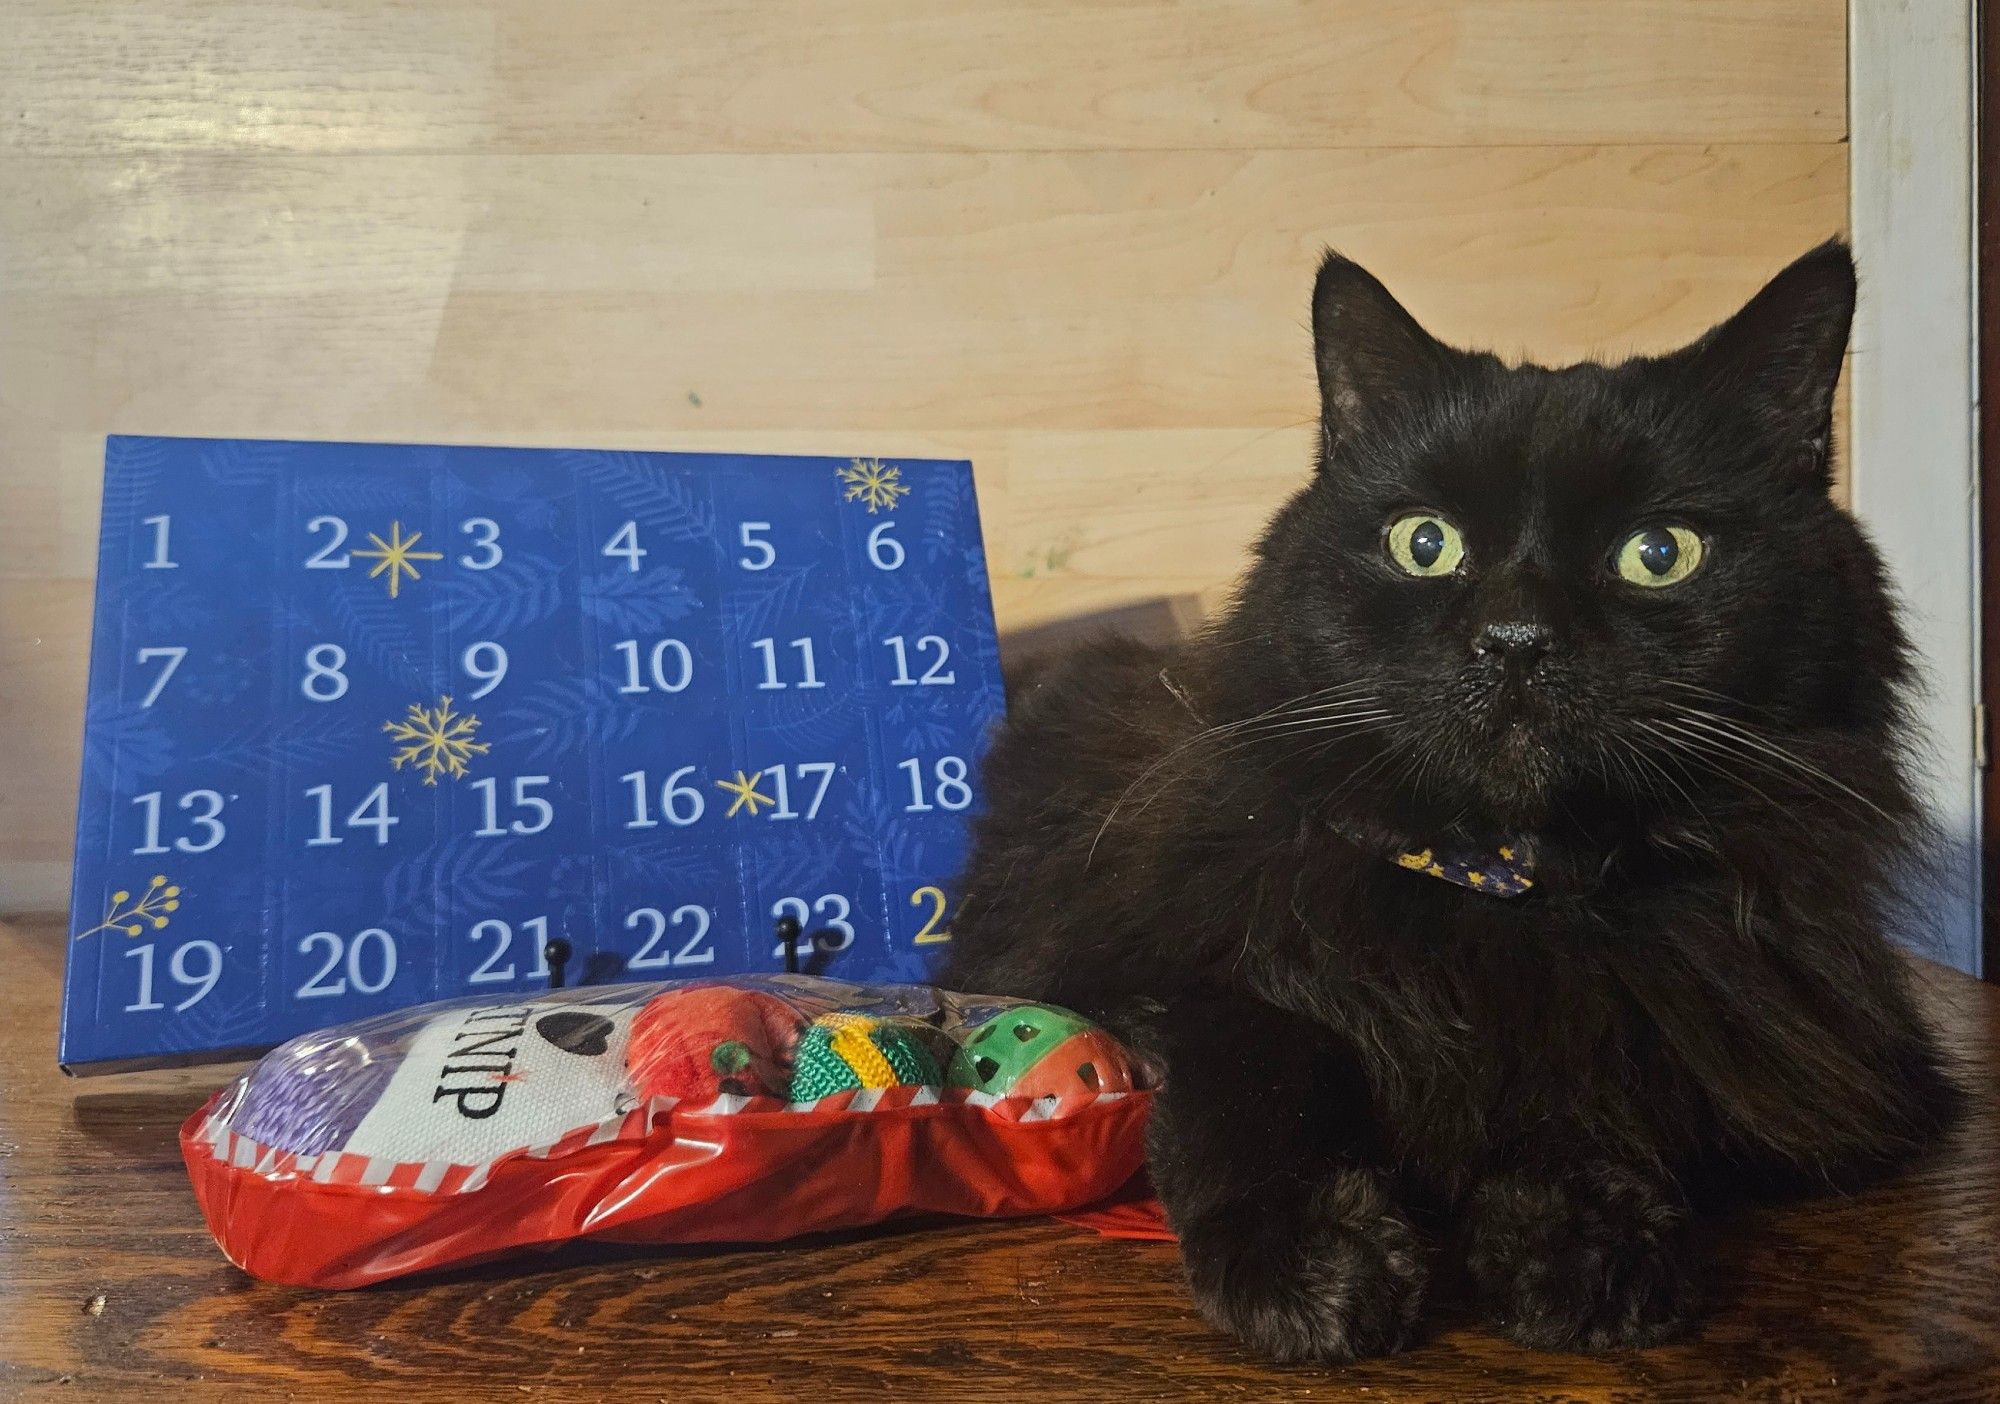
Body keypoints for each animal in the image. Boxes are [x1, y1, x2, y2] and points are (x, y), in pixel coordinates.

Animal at [944, 242, 1960, 1360]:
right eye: (1423, 545)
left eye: (1659, 555)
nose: (1514, 640)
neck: (1502, 884)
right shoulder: (1148, 974)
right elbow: (1253, 1066)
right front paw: (1308, 1267)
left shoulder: (1785, 1059)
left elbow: (1598, 1078)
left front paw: (1580, 1241)